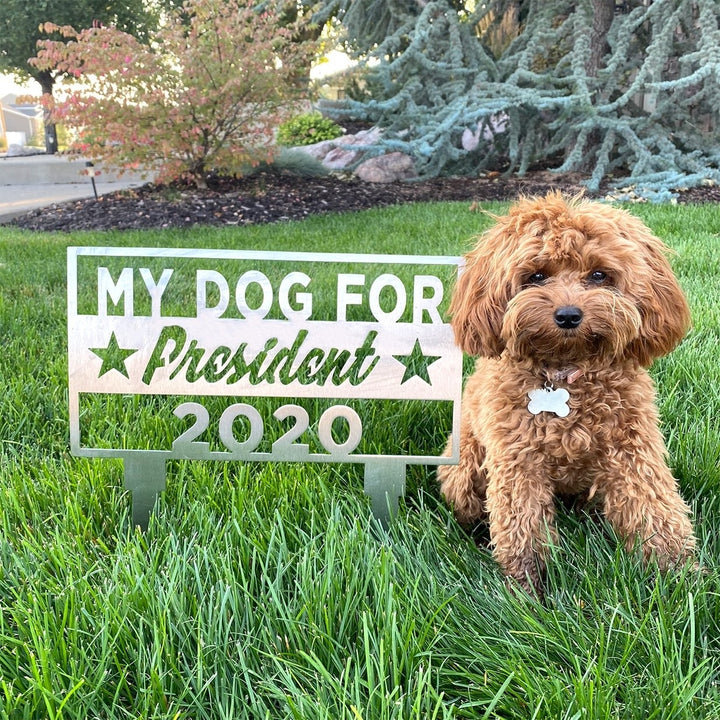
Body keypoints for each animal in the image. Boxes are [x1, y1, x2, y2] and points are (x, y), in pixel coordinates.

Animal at [438, 191, 696, 592]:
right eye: (536, 276)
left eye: (599, 274)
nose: (569, 315)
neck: (564, 374)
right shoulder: (517, 459)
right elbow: (521, 522)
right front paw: (528, 587)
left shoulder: (633, 448)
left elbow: (654, 504)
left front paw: (679, 573)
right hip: (462, 471)